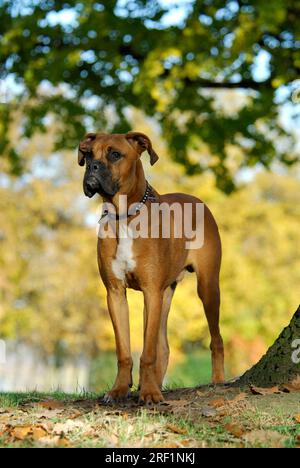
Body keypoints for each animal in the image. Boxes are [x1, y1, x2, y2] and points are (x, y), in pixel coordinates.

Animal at [78, 131, 224, 402]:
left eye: (115, 154)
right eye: (89, 154)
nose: (93, 167)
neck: (124, 215)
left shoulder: (151, 292)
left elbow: (147, 352)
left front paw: (148, 393)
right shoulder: (116, 294)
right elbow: (124, 350)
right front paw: (120, 389)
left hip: (207, 288)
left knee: (216, 338)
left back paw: (218, 380)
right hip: (165, 296)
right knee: (163, 347)